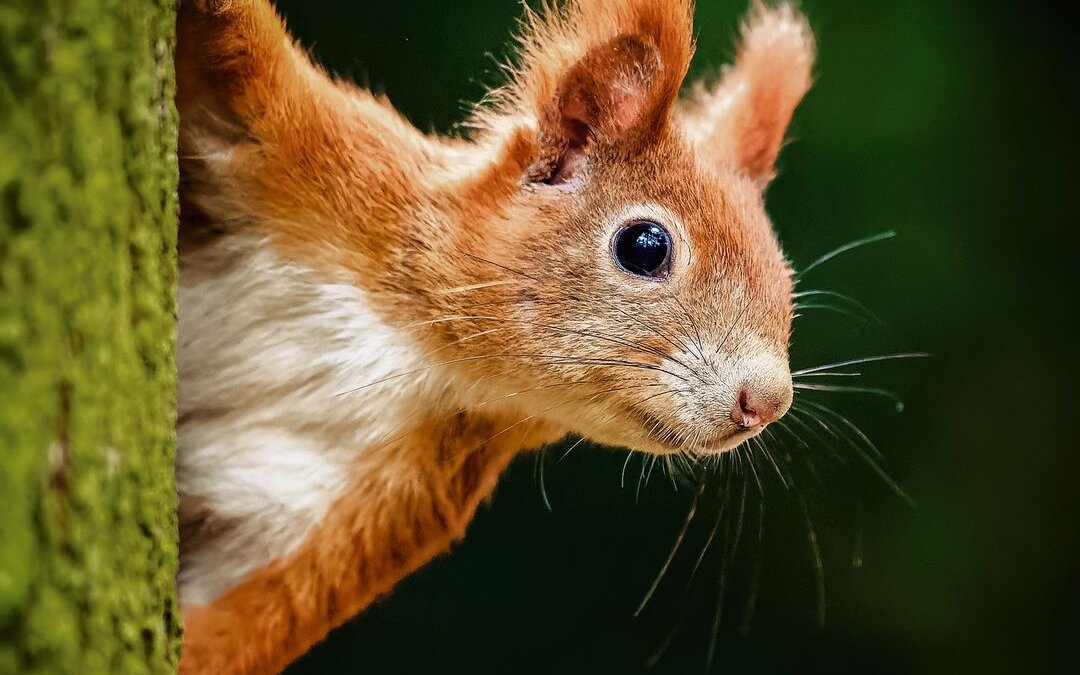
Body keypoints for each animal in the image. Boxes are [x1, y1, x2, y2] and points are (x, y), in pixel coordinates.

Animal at [174, 0, 812, 669]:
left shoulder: (361, 503)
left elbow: (243, 620)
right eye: (644, 247)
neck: (416, 343)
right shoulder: (314, 149)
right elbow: (242, 56)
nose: (768, 402)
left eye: (785, 283)